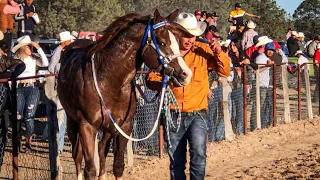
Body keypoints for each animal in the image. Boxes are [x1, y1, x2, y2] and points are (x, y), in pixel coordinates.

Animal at [57, 9, 192, 180]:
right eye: (162, 42)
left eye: (177, 41)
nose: (185, 74)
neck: (109, 80)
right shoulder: (87, 126)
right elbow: (90, 170)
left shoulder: (123, 126)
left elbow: (118, 166)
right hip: (72, 121)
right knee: (78, 156)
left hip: (108, 127)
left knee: (102, 149)